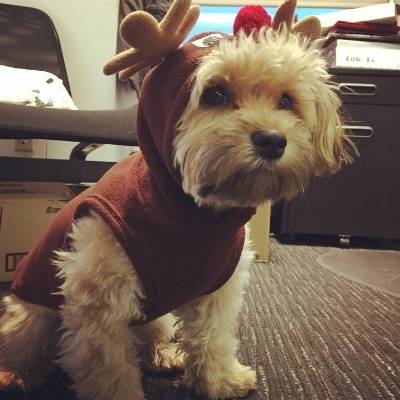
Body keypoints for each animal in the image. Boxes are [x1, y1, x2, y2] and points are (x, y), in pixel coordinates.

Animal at [0, 1, 352, 398]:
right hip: (31, 314)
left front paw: (219, 379)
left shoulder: (217, 290)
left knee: (151, 336)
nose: (273, 141)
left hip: (156, 315)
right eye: (215, 94)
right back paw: (17, 373)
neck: (190, 215)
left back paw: (163, 353)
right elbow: (109, 369)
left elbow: (212, 338)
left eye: (286, 100)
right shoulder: (98, 304)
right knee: (24, 344)